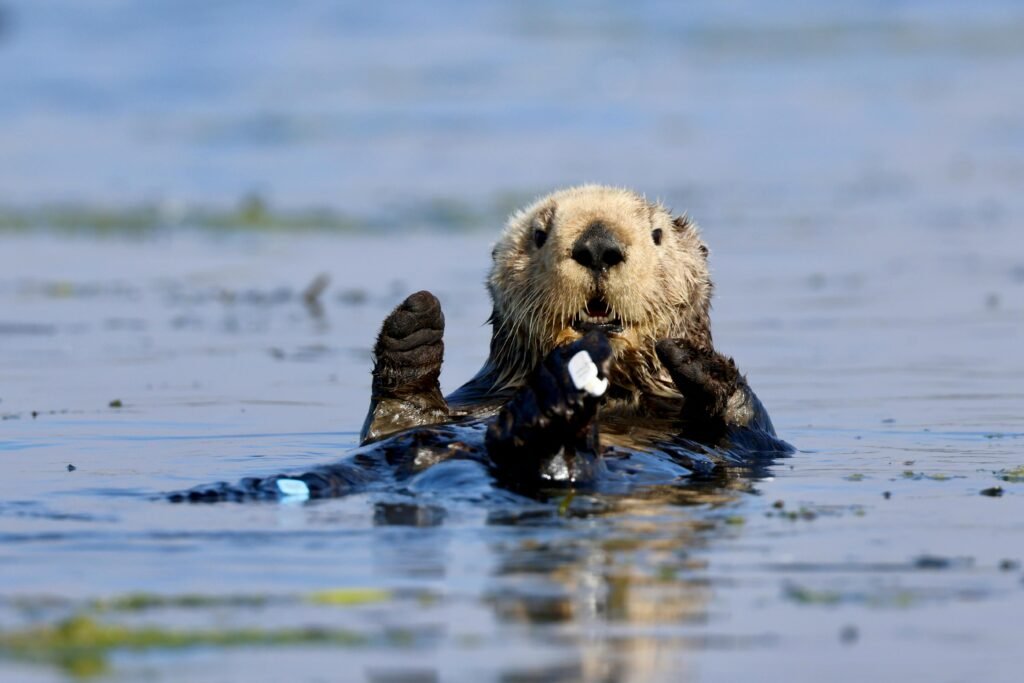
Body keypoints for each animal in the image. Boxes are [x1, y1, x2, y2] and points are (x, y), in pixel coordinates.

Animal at [172, 185, 786, 501]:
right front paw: (414, 324)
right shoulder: (473, 400)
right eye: (539, 234)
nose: (598, 245)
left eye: (656, 235)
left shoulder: (752, 441)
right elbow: (394, 419)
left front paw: (692, 356)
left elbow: (746, 425)